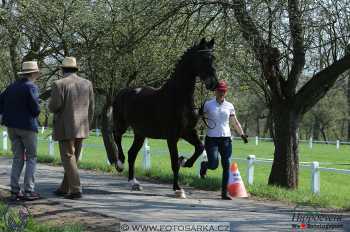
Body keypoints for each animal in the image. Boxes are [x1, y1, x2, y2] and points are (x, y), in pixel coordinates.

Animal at [112, 38, 217, 194]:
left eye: (213, 58)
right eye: (203, 58)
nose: (214, 83)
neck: (178, 97)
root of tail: (123, 92)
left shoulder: (188, 132)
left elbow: (200, 147)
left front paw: (185, 161)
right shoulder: (172, 137)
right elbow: (174, 162)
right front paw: (177, 188)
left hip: (140, 133)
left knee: (132, 154)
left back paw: (133, 182)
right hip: (122, 125)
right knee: (117, 138)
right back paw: (120, 163)